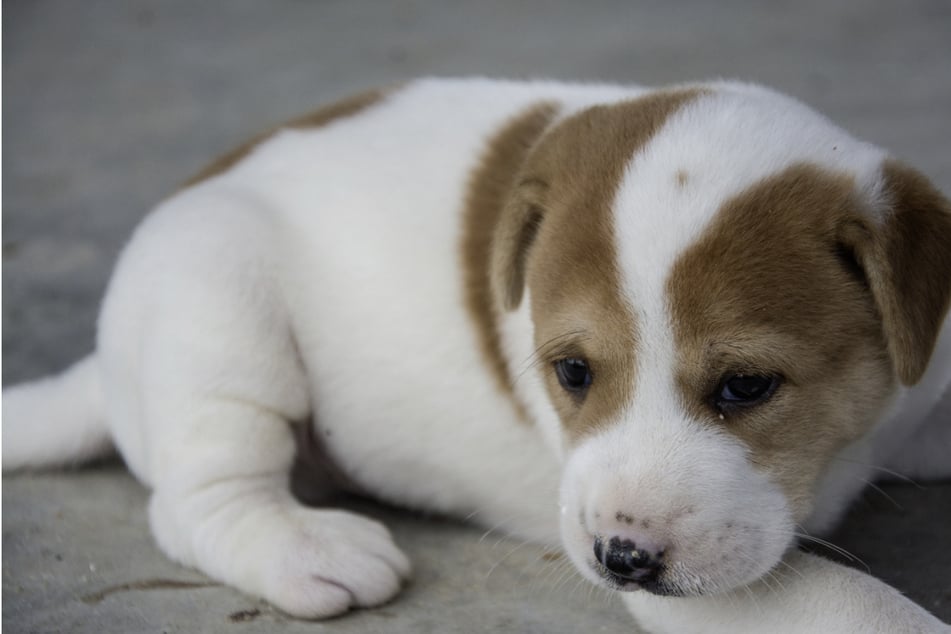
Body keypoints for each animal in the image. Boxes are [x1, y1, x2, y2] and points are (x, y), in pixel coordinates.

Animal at [1, 79, 951, 632]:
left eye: (747, 386)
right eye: (572, 373)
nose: (621, 559)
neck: (860, 439)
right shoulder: (718, 591)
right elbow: (861, 604)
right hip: (215, 295)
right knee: (199, 496)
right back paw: (303, 548)